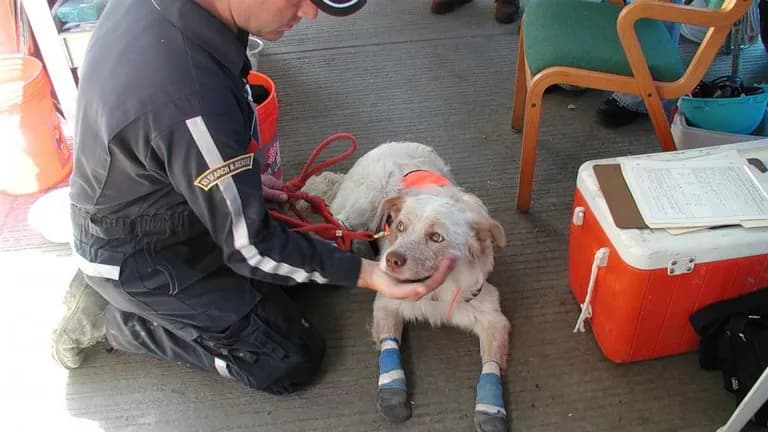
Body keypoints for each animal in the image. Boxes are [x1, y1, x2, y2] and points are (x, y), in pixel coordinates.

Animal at [302, 142, 510, 432]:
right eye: (400, 226)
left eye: (436, 237)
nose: (390, 260)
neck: (437, 292)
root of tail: (392, 144)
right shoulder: (387, 302)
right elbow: (390, 344)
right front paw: (393, 391)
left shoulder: (491, 314)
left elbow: (492, 362)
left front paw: (491, 408)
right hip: (364, 202)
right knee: (339, 224)